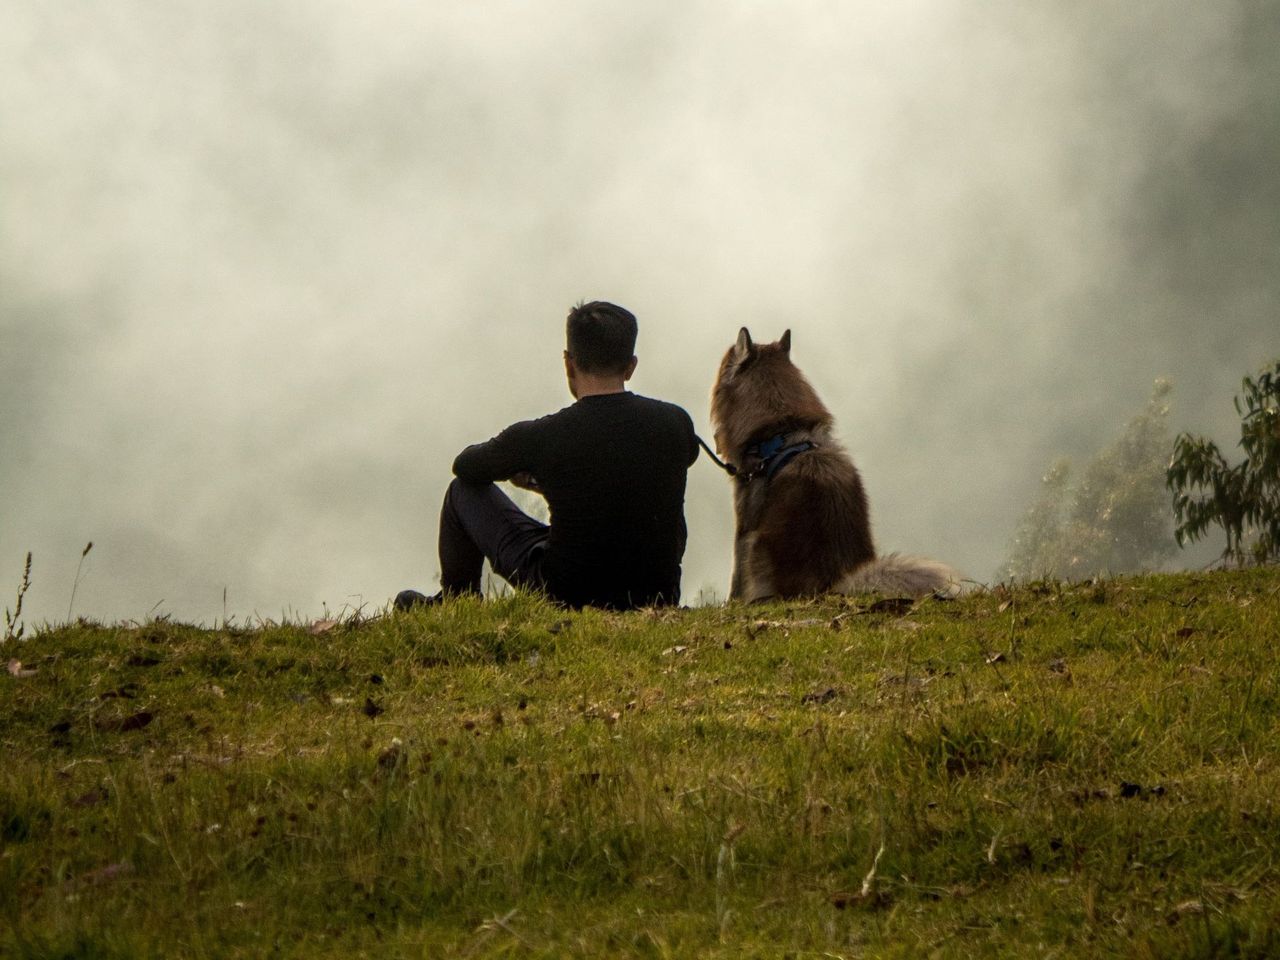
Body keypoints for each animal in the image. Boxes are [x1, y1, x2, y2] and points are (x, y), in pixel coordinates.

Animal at [711, 330, 962, 601]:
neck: (783, 432)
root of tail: (830, 587)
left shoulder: (745, 521)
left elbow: (736, 578)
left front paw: (732, 603)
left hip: (757, 545)